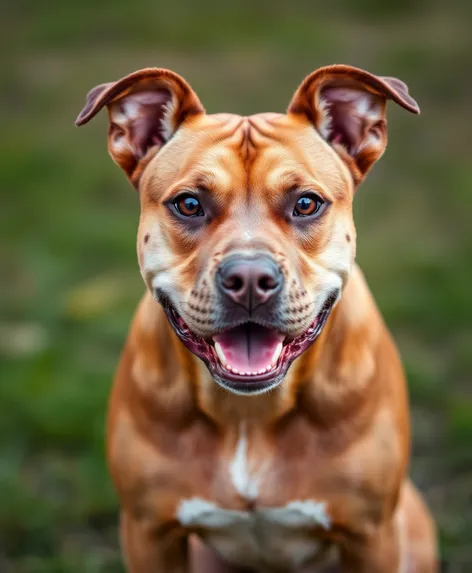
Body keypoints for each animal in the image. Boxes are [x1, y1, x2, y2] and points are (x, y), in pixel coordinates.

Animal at [75, 65, 436, 568]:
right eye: (189, 204)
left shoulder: (372, 535)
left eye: (306, 203)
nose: (249, 278)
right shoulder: (148, 532)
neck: (248, 414)